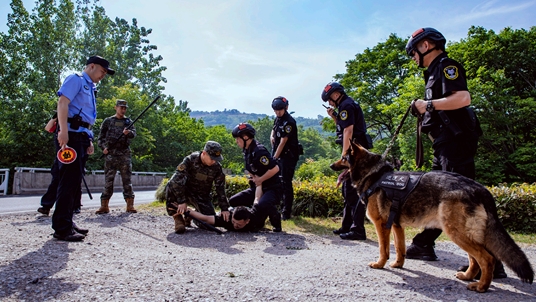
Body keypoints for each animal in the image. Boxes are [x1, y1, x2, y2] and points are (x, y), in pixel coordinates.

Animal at [328, 141, 532, 292]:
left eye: (343, 157)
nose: (330, 165)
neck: (374, 175)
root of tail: (480, 188)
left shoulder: (382, 224)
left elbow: (383, 249)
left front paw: (380, 264)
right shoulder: (396, 226)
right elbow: (400, 248)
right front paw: (398, 264)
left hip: (456, 232)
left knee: (487, 258)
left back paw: (481, 286)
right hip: (465, 234)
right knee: (475, 259)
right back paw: (468, 277)